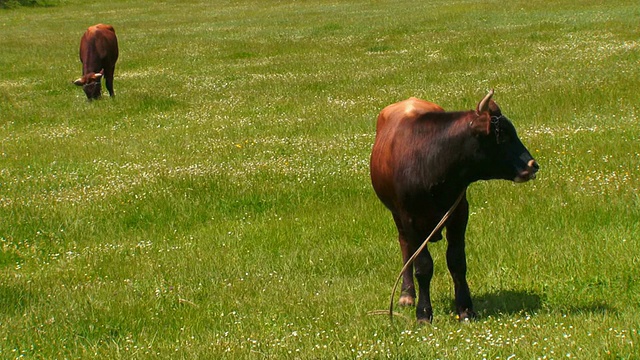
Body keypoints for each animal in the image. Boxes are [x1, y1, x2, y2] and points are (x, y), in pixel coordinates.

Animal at [370, 90, 540, 324]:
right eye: (503, 135)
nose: (533, 166)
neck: (432, 163)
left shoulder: (459, 213)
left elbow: (457, 261)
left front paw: (466, 309)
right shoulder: (411, 218)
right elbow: (423, 265)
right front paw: (424, 313)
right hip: (397, 215)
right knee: (405, 247)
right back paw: (407, 294)